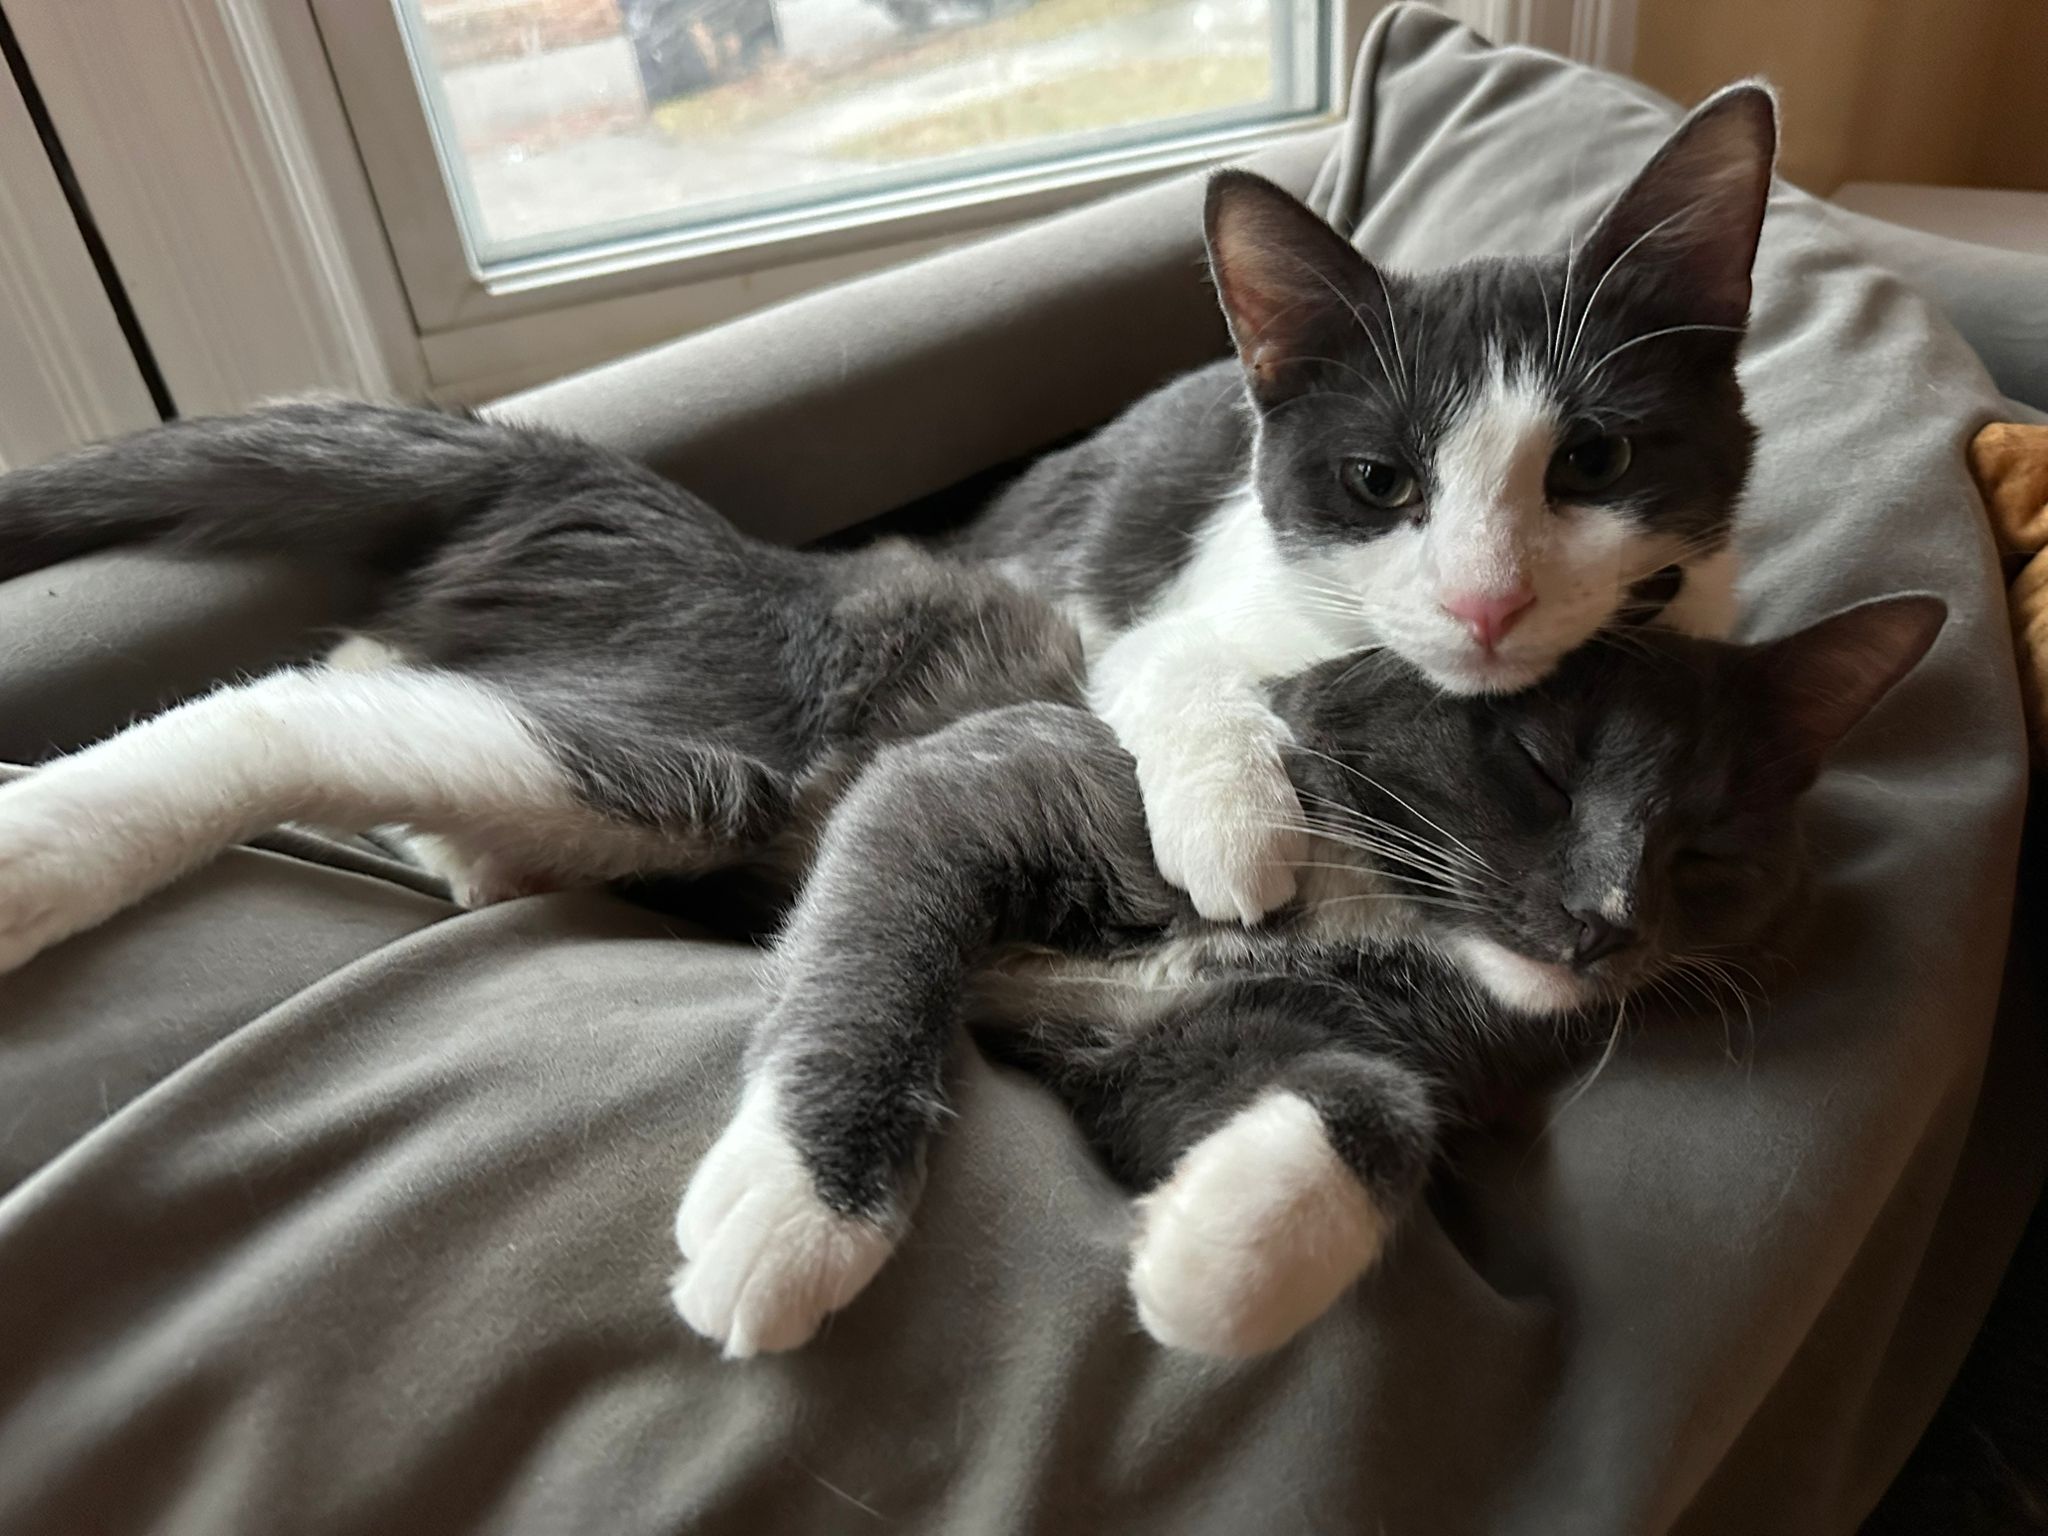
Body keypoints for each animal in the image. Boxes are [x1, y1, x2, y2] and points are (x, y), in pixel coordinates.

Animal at [671, 593, 1943, 1358]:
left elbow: (1376, 1103)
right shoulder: (968, 783)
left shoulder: (1149, 1047)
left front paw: (1221, 1257)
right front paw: (799, 1213)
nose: (1604, 920)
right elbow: (868, 956)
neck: (1367, 911)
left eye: (1709, 848)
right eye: (1539, 762)